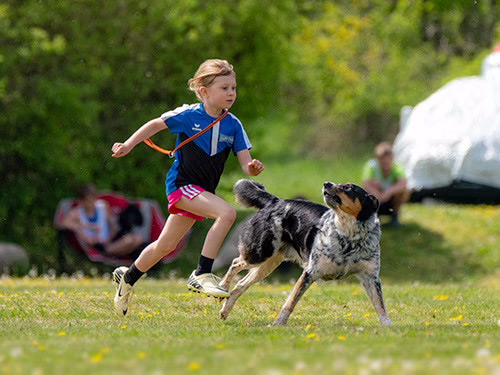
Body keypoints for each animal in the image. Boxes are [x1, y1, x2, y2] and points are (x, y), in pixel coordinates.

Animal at [221, 179, 392, 326]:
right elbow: (290, 302)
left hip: (267, 264)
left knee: (241, 284)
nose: (327, 183)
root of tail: (276, 201)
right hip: (259, 253)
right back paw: (222, 286)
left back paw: (225, 310)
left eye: (348, 188)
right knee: (235, 263)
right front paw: (278, 323)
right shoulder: (310, 272)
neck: (349, 238)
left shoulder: (371, 278)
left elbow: (381, 307)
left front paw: (388, 327)